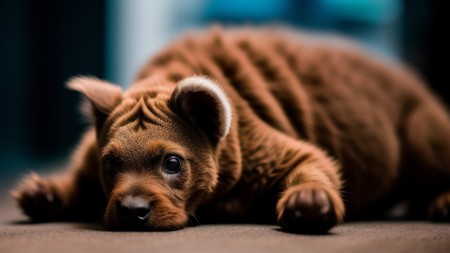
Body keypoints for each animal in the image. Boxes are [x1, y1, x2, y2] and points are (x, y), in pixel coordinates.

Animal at [10, 27, 450, 233]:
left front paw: (308, 201)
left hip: (422, 129)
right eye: (110, 165)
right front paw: (43, 193)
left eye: (173, 163)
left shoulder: (260, 143)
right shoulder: (91, 153)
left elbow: (312, 162)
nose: (132, 212)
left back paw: (441, 202)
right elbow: (79, 179)